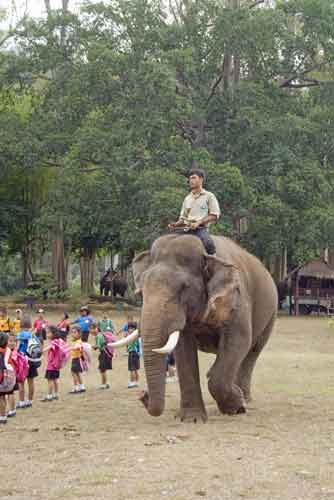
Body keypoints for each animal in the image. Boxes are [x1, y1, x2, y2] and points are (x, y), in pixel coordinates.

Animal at [125, 234, 276, 422]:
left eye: (183, 288)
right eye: (141, 291)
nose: (142, 395)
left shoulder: (237, 298)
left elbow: (239, 340)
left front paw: (236, 406)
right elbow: (183, 348)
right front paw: (192, 419)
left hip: (271, 313)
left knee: (252, 351)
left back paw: (245, 399)